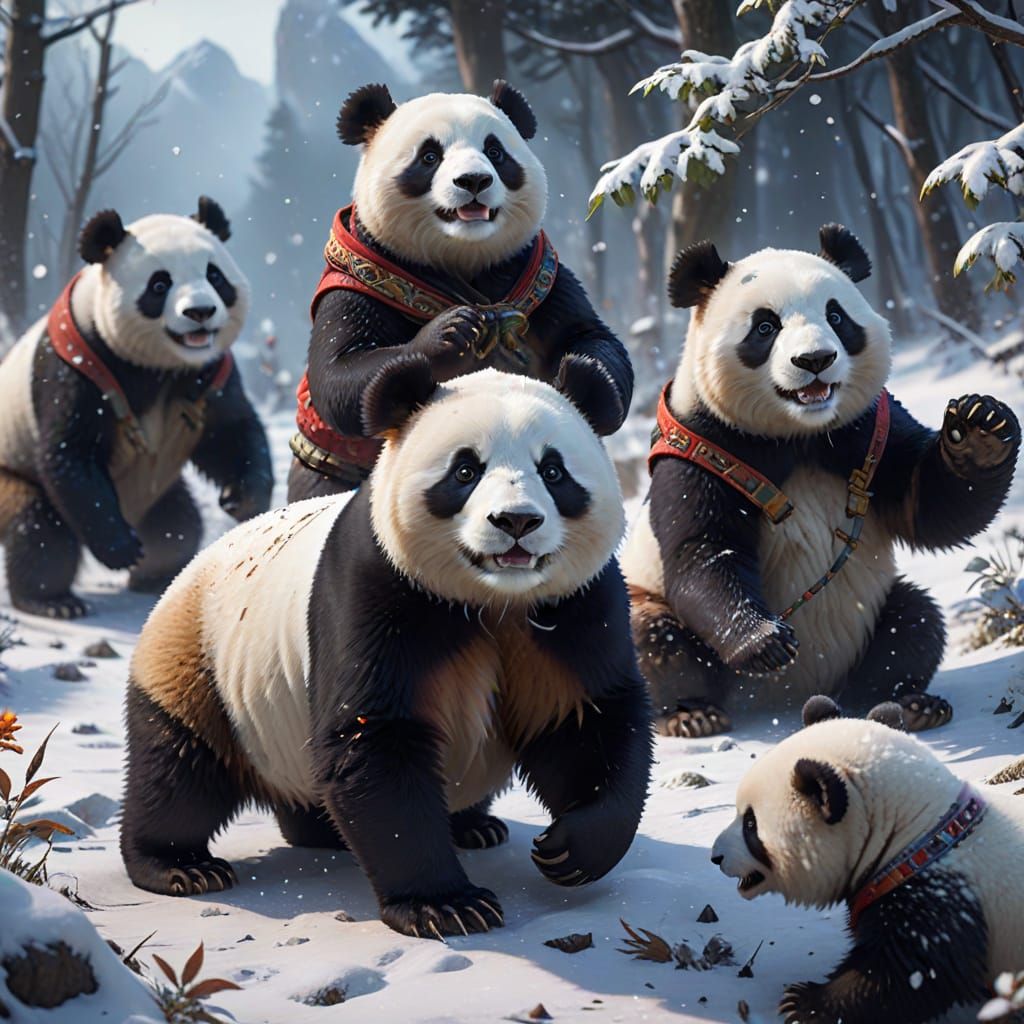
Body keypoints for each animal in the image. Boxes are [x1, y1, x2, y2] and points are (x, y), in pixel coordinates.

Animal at [0, 198, 273, 618]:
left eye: (215, 276)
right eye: (160, 284)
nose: (200, 312)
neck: (156, 366)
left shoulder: (210, 369)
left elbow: (229, 431)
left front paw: (243, 498)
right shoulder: (78, 361)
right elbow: (69, 450)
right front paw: (120, 549)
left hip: (158, 491)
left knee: (177, 525)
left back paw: (156, 576)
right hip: (11, 472)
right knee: (40, 530)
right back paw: (51, 600)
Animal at [120, 364, 653, 939]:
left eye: (553, 471)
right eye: (465, 470)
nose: (516, 521)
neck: (493, 599)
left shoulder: (573, 606)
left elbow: (588, 719)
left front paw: (569, 849)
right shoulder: (379, 585)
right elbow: (375, 738)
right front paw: (446, 906)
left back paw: (459, 826)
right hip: (199, 659)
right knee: (180, 767)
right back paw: (178, 866)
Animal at [287, 79, 632, 500]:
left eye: (495, 152)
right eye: (429, 156)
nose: (474, 181)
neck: (463, 258)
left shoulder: (539, 275)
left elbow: (589, 335)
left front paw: (585, 373)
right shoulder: (362, 280)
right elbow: (340, 371)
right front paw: (452, 332)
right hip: (327, 467)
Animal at [621, 224, 1020, 737]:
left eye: (836, 315)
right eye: (765, 327)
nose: (815, 359)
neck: (798, 433)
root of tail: (786, 697)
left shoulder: (868, 429)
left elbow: (929, 508)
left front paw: (981, 429)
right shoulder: (703, 446)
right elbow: (704, 549)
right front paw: (763, 640)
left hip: (868, 623)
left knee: (914, 620)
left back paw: (908, 702)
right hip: (646, 597)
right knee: (653, 637)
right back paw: (692, 713)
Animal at [711, 695, 1024, 1024]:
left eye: (750, 825)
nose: (716, 857)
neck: (921, 829)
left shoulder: (941, 892)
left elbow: (911, 975)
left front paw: (803, 1003)